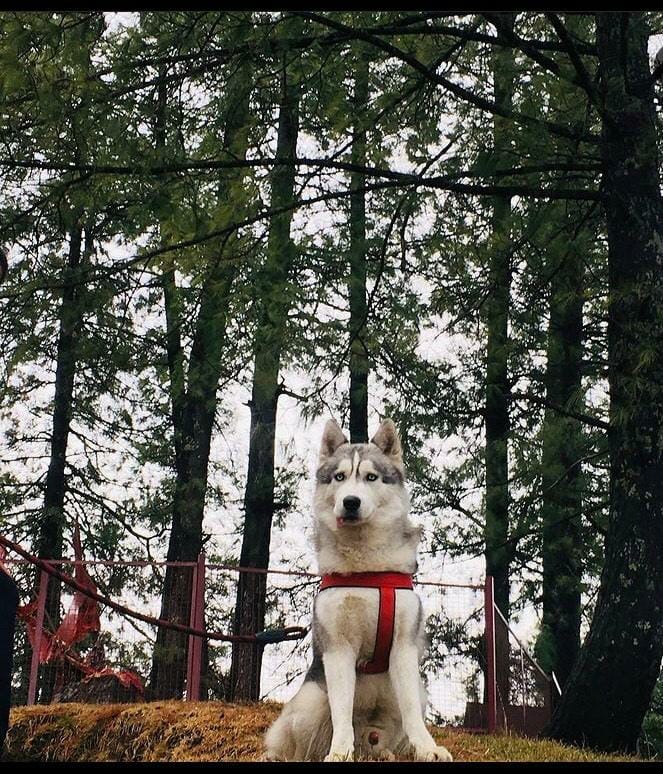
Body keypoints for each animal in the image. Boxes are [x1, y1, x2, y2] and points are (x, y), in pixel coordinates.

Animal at [264, 418, 452, 764]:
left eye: (370, 477)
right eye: (339, 476)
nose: (351, 501)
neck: (367, 570)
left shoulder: (403, 648)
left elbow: (411, 712)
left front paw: (427, 748)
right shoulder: (339, 648)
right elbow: (341, 711)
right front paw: (340, 752)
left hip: (414, 696)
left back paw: (386, 752)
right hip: (310, 700)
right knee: (300, 747)